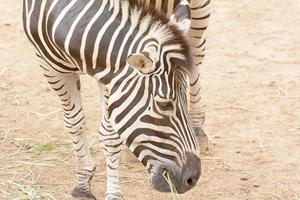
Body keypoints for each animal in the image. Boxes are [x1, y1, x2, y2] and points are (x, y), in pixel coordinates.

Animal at [22, 0, 207, 200]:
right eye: (164, 104)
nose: (192, 178)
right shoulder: (50, 67)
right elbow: (75, 124)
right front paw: (82, 185)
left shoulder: (111, 77)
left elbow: (109, 135)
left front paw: (113, 193)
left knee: (197, 52)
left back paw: (198, 129)